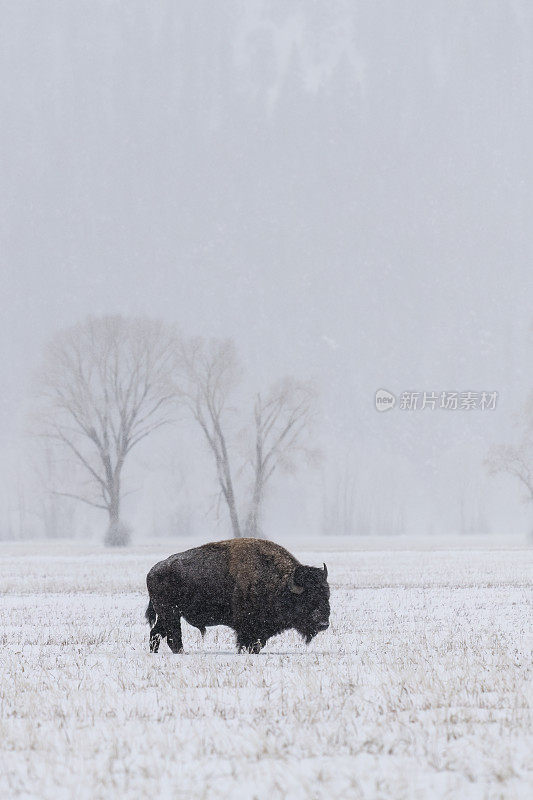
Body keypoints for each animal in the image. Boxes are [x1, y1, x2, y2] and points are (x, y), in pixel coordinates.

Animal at [145, 536, 328, 648]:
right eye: (308, 597)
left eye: (327, 595)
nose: (324, 624)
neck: (281, 583)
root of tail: (153, 571)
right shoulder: (248, 629)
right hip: (170, 614)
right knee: (173, 638)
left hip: (167, 615)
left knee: (156, 633)